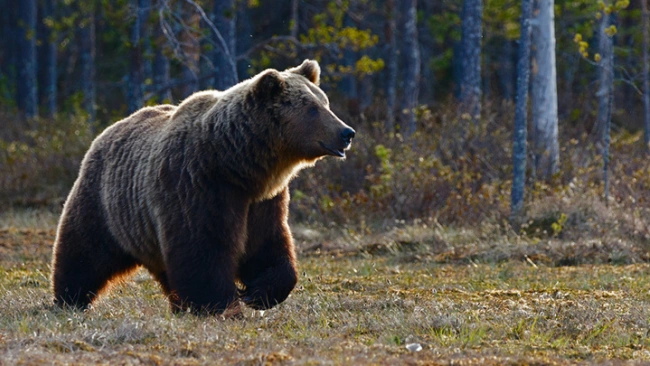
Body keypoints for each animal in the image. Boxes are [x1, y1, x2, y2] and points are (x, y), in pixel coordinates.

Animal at [50, 60, 354, 314]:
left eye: (325, 102)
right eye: (312, 109)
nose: (347, 132)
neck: (238, 165)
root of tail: (108, 130)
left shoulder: (263, 201)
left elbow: (267, 245)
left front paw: (257, 293)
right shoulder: (198, 185)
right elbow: (203, 248)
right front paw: (221, 304)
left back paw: (177, 305)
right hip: (106, 202)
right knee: (84, 251)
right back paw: (69, 299)